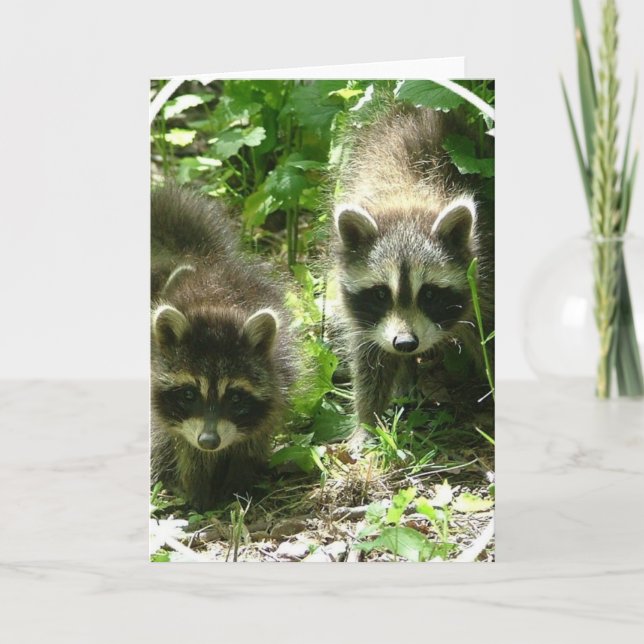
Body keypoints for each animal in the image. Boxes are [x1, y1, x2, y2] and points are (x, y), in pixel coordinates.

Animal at [150, 185, 298, 510]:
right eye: (189, 394)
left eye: (235, 397)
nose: (209, 442)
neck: (217, 304)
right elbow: (182, 447)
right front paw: (197, 490)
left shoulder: (276, 381)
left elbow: (251, 440)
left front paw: (237, 485)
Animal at [331, 104, 494, 439]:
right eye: (381, 294)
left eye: (429, 294)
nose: (405, 343)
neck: (407, 198)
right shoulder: (364, 315)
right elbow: (369, 359)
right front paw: (367, 423)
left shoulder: (483, 276)